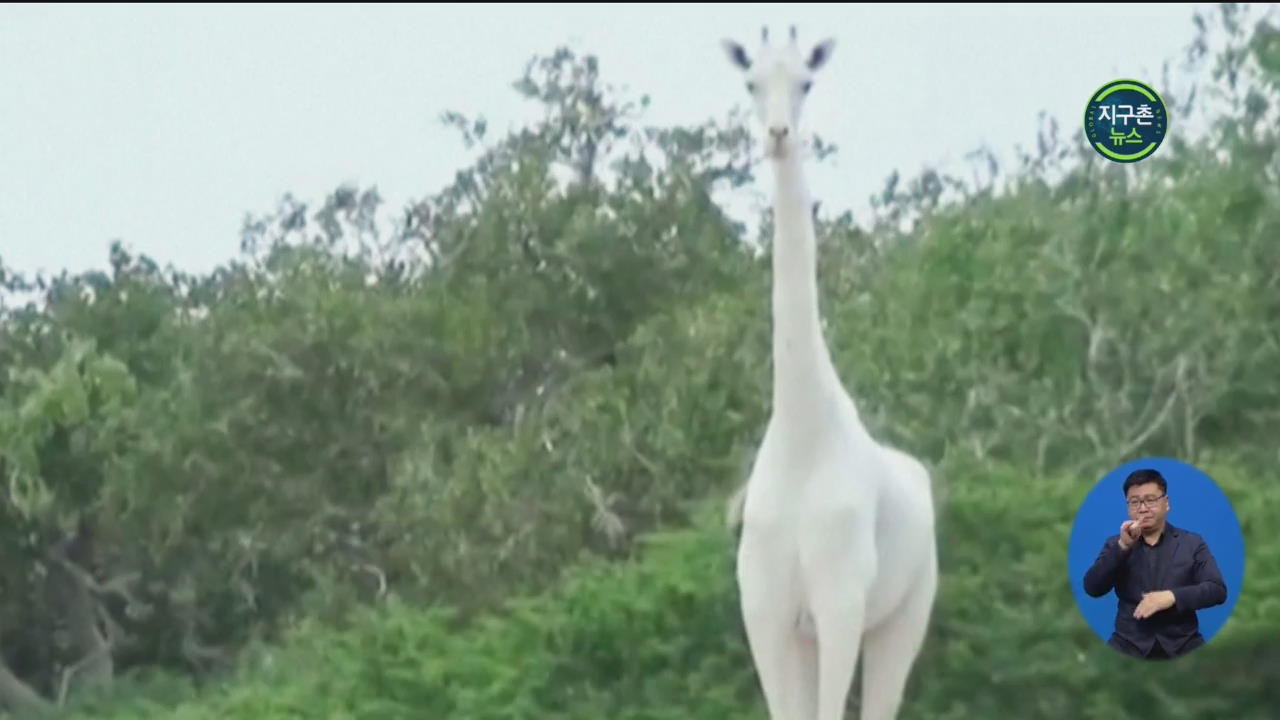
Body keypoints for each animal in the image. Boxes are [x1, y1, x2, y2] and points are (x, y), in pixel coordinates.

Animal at [721, 25, 942, 717]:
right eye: (751, 82)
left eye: (807, 83)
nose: (777, 134)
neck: (802, 434)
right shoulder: (766, 613)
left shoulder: (841, 603)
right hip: (813, 633)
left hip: (904, 616)